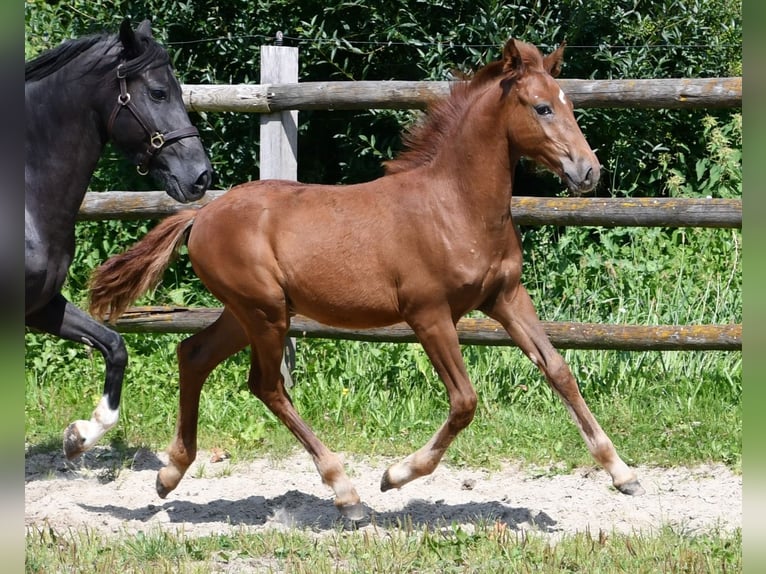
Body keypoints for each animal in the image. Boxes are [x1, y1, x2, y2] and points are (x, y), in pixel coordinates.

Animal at [88, 38, 640, 520]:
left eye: (569, 103)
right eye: (542, 107)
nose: (588, 171)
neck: (455, 205)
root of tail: (200, 214)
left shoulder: (505, 297)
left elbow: (559, 370)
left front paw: (622, 472)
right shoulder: (429, 315)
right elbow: (464, 402)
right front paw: (395, 475)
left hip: (246, 312)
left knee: (194, 355)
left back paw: (170, 474)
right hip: (265, 313)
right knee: (266, 385)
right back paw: (345, 492)